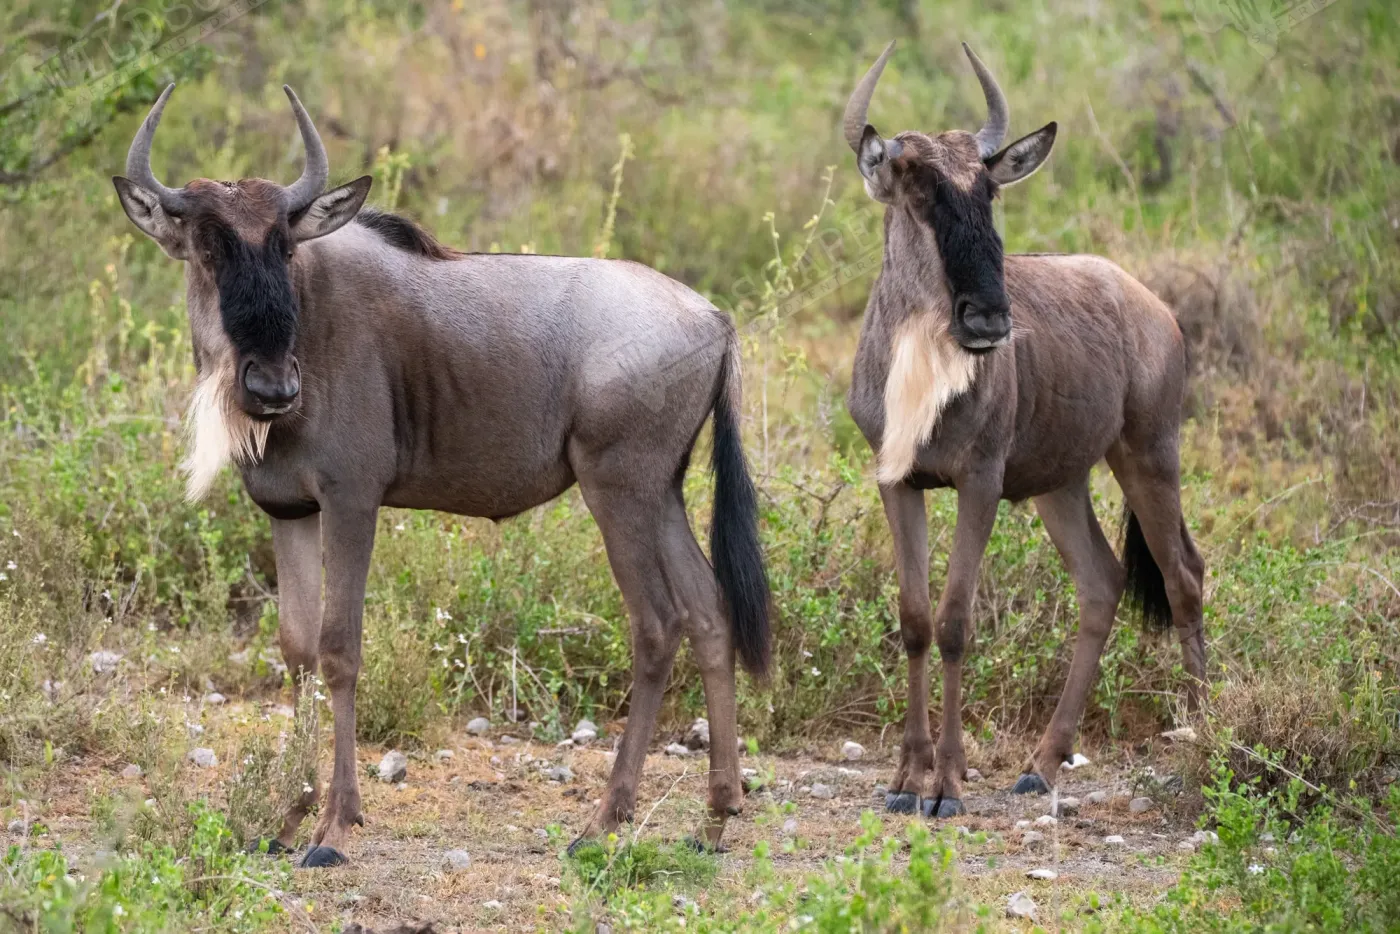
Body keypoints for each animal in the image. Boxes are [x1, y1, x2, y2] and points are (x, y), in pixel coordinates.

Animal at [114, 85, 770, 866]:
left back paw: (603, 822)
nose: (273, 388)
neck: (311, 319)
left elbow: (339, 650)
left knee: (658, 624)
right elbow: (296, 651)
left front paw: (335, 827)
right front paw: (288, 816)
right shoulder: (290, 511)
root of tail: (715, 318)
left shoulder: (352, 501)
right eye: (209, 247)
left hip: (620, 492)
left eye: (284, 245)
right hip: (662, 492)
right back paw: (717, 815)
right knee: (708, 612)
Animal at [842, 42, 1206, 817]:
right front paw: (904, 779)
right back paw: (1041, 764)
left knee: (1183, 576)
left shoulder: (979, 482)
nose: (988, 319)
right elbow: (915, 620)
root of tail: (1155, 307)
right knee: (1102, 583)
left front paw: (947, 786)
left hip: (1149, 455)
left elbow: (955, 621)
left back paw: (1209, 733)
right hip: (1059, 485)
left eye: (988, 192)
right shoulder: (899, 482)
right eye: (918, 192)